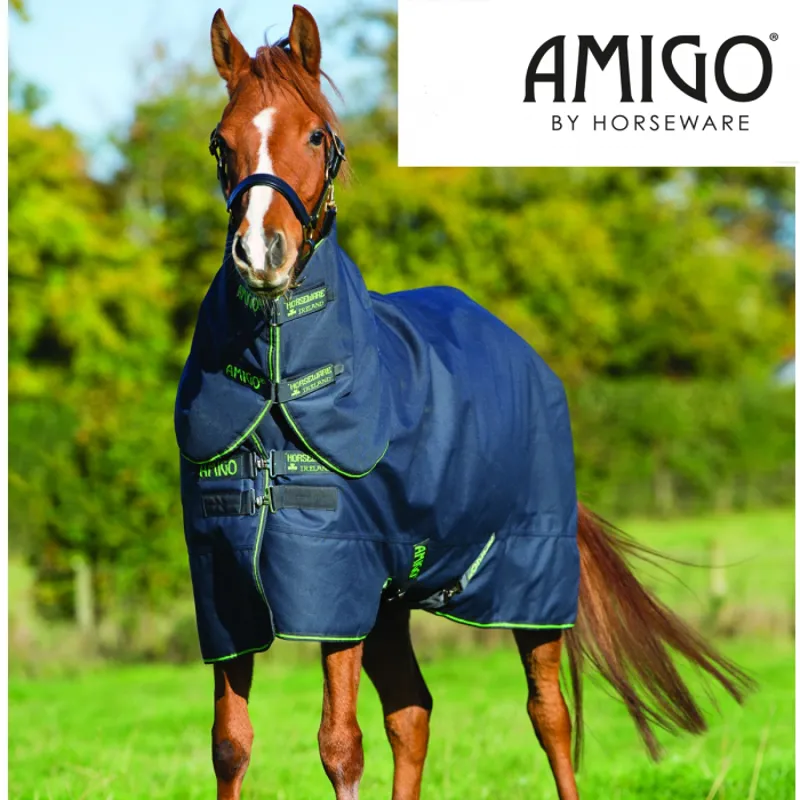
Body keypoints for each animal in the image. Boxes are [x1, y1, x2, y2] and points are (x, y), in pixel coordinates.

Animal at [175, 7, 753, 799]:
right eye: (220, 141)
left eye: (316, 135)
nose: (263, 253)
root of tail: (528, 356)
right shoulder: (230, 592)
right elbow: (231, 745)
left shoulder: (337, 585)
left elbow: (339, 745)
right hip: (392, 602)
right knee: (413, 713)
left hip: (530, 586)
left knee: (549, 716)